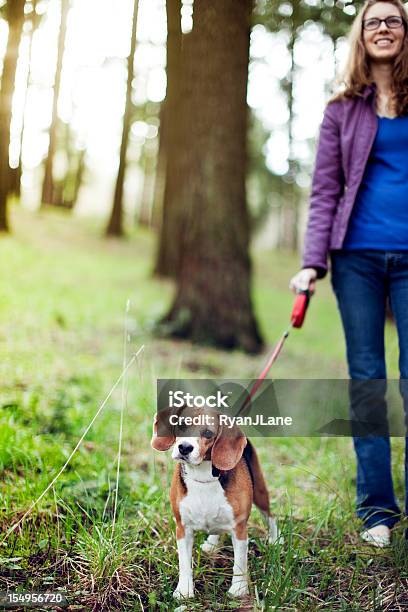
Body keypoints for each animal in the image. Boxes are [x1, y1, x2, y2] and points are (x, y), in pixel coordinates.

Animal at [151, 404, 280, 600]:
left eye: (208, 433)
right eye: (181, 424)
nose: (184, 447)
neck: (203, 476)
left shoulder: (239, 527)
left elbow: (240, 562)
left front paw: (239, 589)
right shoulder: (182, 527)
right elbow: (184, 563)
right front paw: (184, 590)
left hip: (260, 492)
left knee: (270, 516)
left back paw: (275, 539)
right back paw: (212, 543)